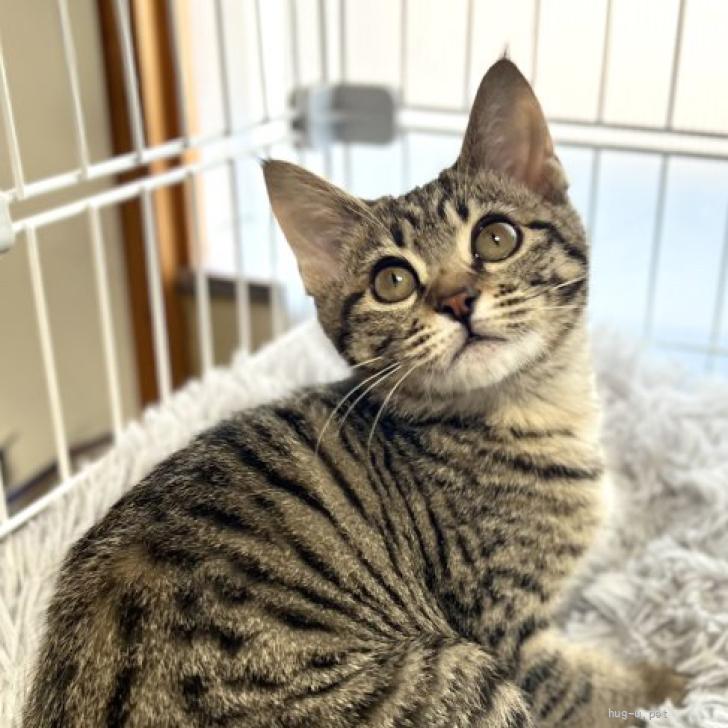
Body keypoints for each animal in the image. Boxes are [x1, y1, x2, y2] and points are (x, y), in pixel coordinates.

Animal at [23, 59, 687, 727]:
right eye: (392, 281)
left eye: (496, 238)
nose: (456, 299)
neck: (535, 409)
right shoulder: (504, 632)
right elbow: (583, 683)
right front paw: (668, 682)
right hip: (459, 671)